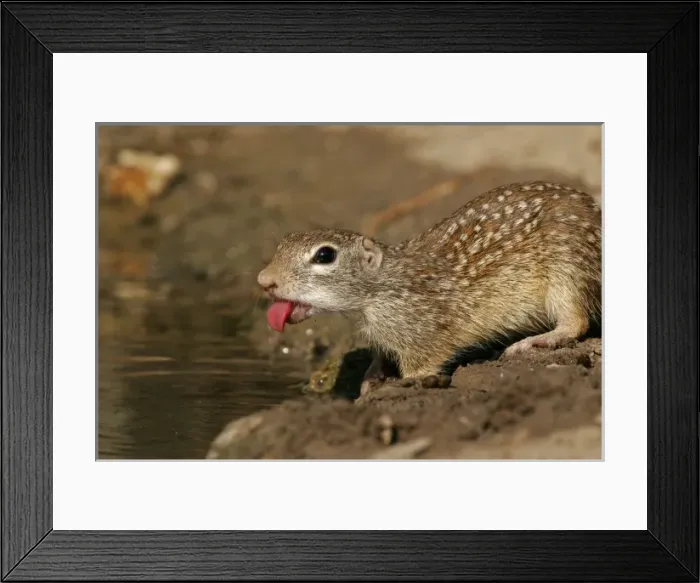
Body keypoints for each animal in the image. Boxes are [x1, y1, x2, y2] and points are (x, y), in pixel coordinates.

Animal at [257, 181, 601, 391]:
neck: (379, 291)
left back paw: (536, 341)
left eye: (324, 255)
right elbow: (381, 355)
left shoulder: (421, 336)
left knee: (576, 322)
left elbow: (420, 368)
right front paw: (371, 377)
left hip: (568, 270)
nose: (264, 280)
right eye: (284, 242)